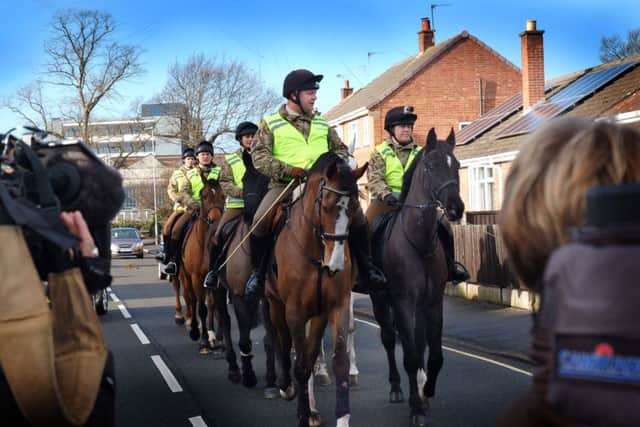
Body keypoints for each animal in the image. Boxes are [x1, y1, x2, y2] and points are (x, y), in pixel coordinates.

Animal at [175, 174, 225, 354]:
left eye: (223, 196)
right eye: (203, 196)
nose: (216, 219)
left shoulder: (214, 278)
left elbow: (213, 306)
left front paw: (216, 338)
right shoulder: (196, 277)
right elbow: (201, 308)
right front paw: (203, 341)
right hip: (185, 276)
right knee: (190, 298)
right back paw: (194, 330)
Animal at [264, 154, 364, 427]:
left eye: (354, 207)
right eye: (326, 205)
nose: (336, 264)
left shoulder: (334, 307)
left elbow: (335, 361)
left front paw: (342, 418)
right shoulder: (295, 311)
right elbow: (300, 365)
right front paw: (302, 414)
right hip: (275, 305)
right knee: (281, 341)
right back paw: (286, 387)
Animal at [370, 129, 464, 427]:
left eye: (457, 166)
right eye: (431, 166)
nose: (456, 209)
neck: (419, 242)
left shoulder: (433, 304)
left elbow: (434, 356)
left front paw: (427, 392)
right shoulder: (402, 303)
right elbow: (410, 356)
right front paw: (415, 407)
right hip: (381, 300)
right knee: (389, 339)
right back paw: (396, 388)